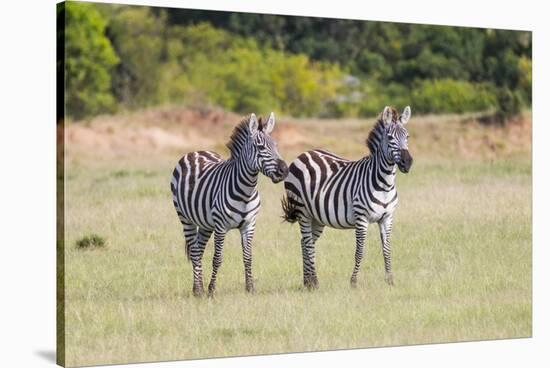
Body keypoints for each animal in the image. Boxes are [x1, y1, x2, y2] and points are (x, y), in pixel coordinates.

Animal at [171, 112, 288, 296]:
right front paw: (212, 290)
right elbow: (217, 259)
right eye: (260, 147)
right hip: (185, 218)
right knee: (195, 252)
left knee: (199, 249)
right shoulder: (220, 226)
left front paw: (250, 288)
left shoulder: (249, 225)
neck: (246, 191)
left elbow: (248, 257)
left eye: (276, 145)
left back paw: (200, 287)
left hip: (205, 223)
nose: (284, 170)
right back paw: (198, 290)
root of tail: (196, 152)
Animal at [284, 106, 414, 290]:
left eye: (407, 136)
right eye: (390, 138)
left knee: (305, 243)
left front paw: (390, 280)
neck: (385, 184)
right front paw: (354, 282)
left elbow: (387, 249)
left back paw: (307, 281)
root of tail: (304, 153)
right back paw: (314, 282)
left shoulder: (387, 218)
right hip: (303, 211)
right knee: (308, 244)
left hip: (317, 217)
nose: (407, 162)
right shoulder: (361, 218)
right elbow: (359, 251)